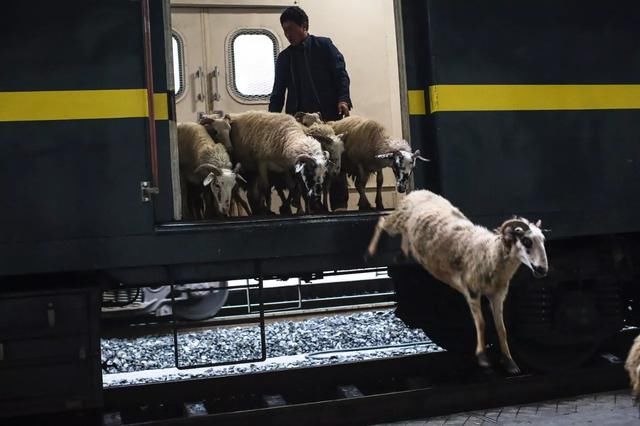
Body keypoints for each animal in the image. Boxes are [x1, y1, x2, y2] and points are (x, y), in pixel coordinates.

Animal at [368, 190, 548, 372]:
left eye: (543, 241)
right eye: (526, 241)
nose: (542, 270)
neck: (490, 253)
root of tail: (418, 191)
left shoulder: (497, 295)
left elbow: (502, 329)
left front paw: (510, 362)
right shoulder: (472, 290)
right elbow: (481, 323)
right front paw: (483, 358)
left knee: (403, 233)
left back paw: (402, 254)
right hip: (398, 218)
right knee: (382, 222)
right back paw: (369, 253)